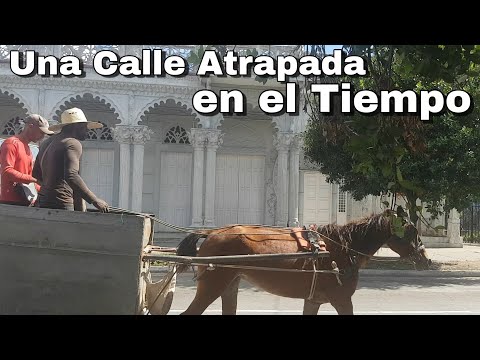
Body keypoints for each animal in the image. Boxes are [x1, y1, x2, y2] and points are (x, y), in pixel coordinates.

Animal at [175, 211, 432, 316]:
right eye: (411, 231)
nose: (426, 259)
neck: (340, 247)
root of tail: (210, 233)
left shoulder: (313, 300)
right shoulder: (342, 299)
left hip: (229, 285)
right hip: (213, 285)